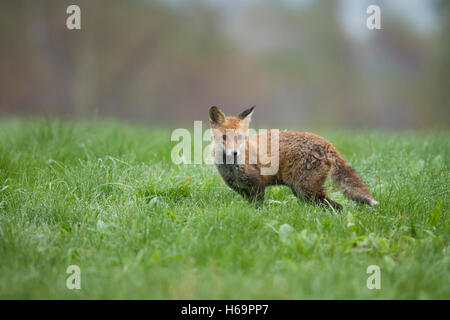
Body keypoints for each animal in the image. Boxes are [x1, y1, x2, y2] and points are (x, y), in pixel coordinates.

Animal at [209, 105, 378, 210]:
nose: (234, 153)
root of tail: (326, 143)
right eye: (224, 137)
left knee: (337, 207)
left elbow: (258, 208)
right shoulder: (242, 190)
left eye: (240, 138)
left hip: (305, 189)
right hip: (302, 191)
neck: (232, 168)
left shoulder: (258, 185)